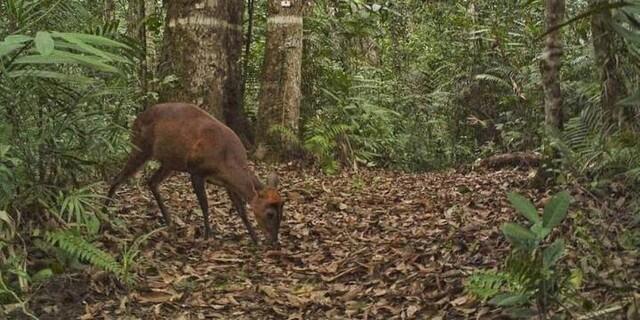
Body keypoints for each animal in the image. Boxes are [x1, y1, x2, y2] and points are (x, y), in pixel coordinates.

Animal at [106, 102, 284, 245]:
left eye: (282, 212)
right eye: (270, 214)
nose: (274, 241)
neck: (226, 160)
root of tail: (136, 120)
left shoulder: (227, 183)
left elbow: (242, 210)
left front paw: (255, 238)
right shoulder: (196, 171)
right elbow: (205, 205)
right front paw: (208, 236)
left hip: (170, 161)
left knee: (152, 181)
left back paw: (169, 221)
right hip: (141, 147)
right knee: (117, 178)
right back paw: (104, 214)